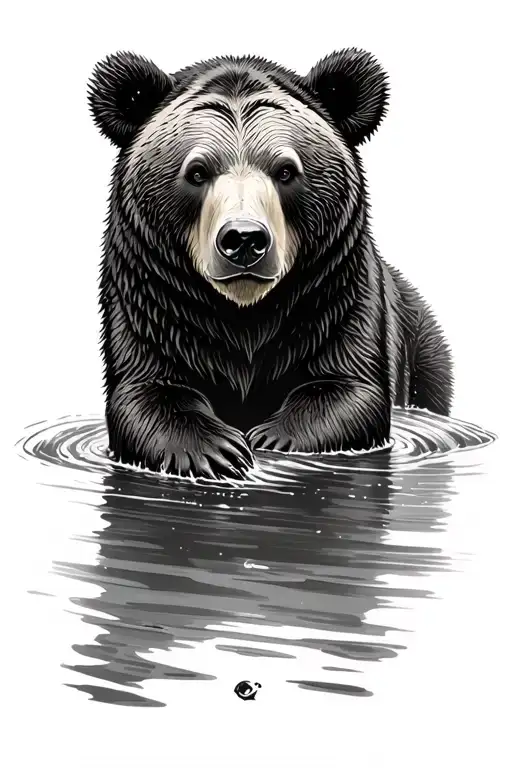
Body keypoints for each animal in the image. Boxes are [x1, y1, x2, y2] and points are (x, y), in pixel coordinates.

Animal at [88, 48, 453, 480]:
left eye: (286, 170)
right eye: (197, 171)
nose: (244, 239)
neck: (246, 313)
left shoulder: (337, 298)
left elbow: (350, 389)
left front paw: (270, 438)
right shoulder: (153, 305)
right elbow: (147, 393)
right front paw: (219, 450)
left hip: (423, 349)